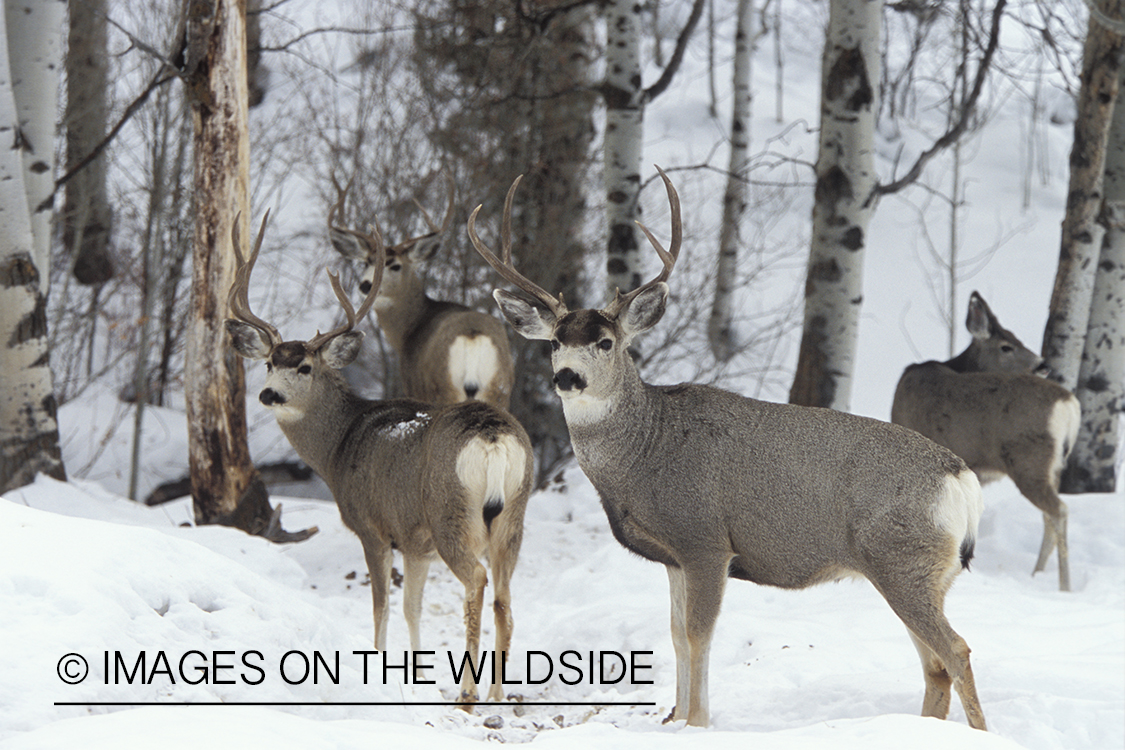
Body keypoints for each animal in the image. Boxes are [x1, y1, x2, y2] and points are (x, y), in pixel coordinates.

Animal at [226, 212, 533, 710]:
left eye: (305, 367)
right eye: (269, 362)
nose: (269, 394)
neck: (339, 445)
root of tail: (492, 435)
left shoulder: (372, 526)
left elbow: (381, 606)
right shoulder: (415, 541)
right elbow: (412, 607)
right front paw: (417, 675)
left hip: (452, 514)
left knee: (477, 580)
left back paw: (467, 694)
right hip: (512, 518)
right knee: (504, 595)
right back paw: (497, 693)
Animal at [328, 172, 515, 411]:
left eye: (396, 266)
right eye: (366, 262)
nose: (365, 285)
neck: (410, 327)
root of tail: (473, 336)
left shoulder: (413, 385)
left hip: (443, 388)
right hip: (499, 390)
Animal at [470, 167, 990, 728]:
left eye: (606, 343)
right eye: (554, 342)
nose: (567, 377)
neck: (645, 453)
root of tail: (960, 479)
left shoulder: (705, 539)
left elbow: (699, 635)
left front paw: (698, 722)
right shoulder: (674, 556)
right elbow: (676, 635)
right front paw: (675, 718)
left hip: (902, 561)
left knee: (957, 650)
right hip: (914, 570)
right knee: (935, 667)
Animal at [891, 290, 1084, 589]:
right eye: (1007, 345)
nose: (1043, 365)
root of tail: (1069, 403)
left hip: (1029, 461)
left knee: (1059, 511)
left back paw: (1064, 585)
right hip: (1050, 467)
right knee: (1048, 516)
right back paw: (1036, 574)